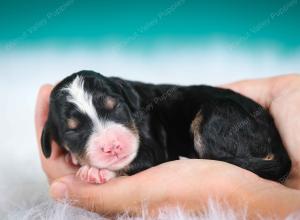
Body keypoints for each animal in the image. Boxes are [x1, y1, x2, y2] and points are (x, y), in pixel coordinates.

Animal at [40, 71, 290, 184]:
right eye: (73, 130)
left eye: (116, 107)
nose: (113, 146)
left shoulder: (154, 148)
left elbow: (137, 160)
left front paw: (96, 171)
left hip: (216, 115)